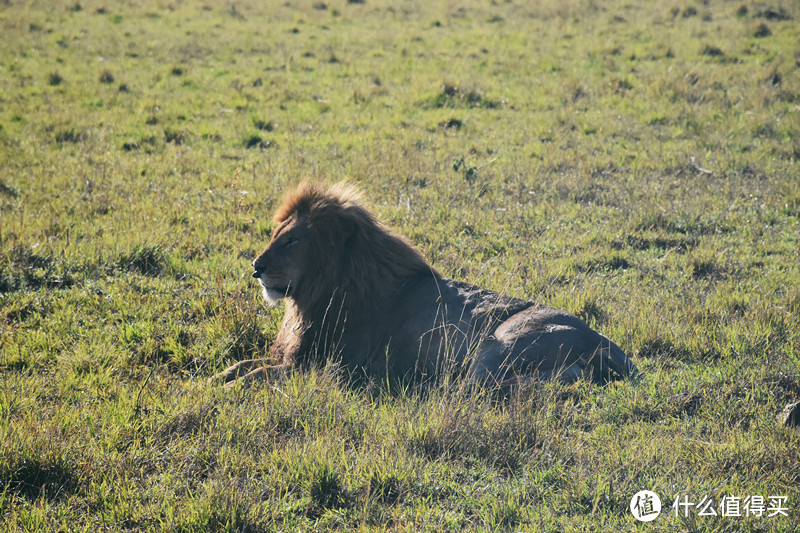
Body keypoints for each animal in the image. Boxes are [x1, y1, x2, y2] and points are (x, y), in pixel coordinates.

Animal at [211, 183, 636, 386]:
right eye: (276, 234)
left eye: (293, 240)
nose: (256, 267)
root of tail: (612, 349)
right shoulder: (292, 357)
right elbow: (245, 363)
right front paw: (214, 379)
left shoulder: (328, 367)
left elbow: (258, 375)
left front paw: (226, 390)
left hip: (495, 348)